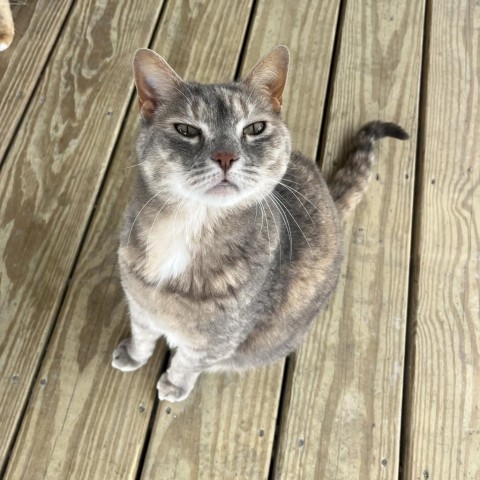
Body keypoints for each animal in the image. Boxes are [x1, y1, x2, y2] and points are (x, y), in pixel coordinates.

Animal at [112, 46, 408, 402]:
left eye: (254, 129)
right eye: (186, 130)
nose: (226, 156)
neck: (189, 228)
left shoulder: (217, 341)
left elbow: (188, 361)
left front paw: (174, 384)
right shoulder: (140, 306)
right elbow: (142, 333)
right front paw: (134, 354)